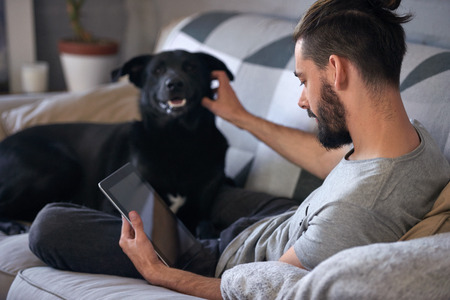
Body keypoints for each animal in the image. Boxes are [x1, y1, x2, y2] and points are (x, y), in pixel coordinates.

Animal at [0, 50, 234, 236]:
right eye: (157, 71)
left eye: (191, 67)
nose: (174, 83)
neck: (179, 138)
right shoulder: (115, 206)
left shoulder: (201, 207)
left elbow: (205, 225)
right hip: (63, 167)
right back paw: (13, 225)